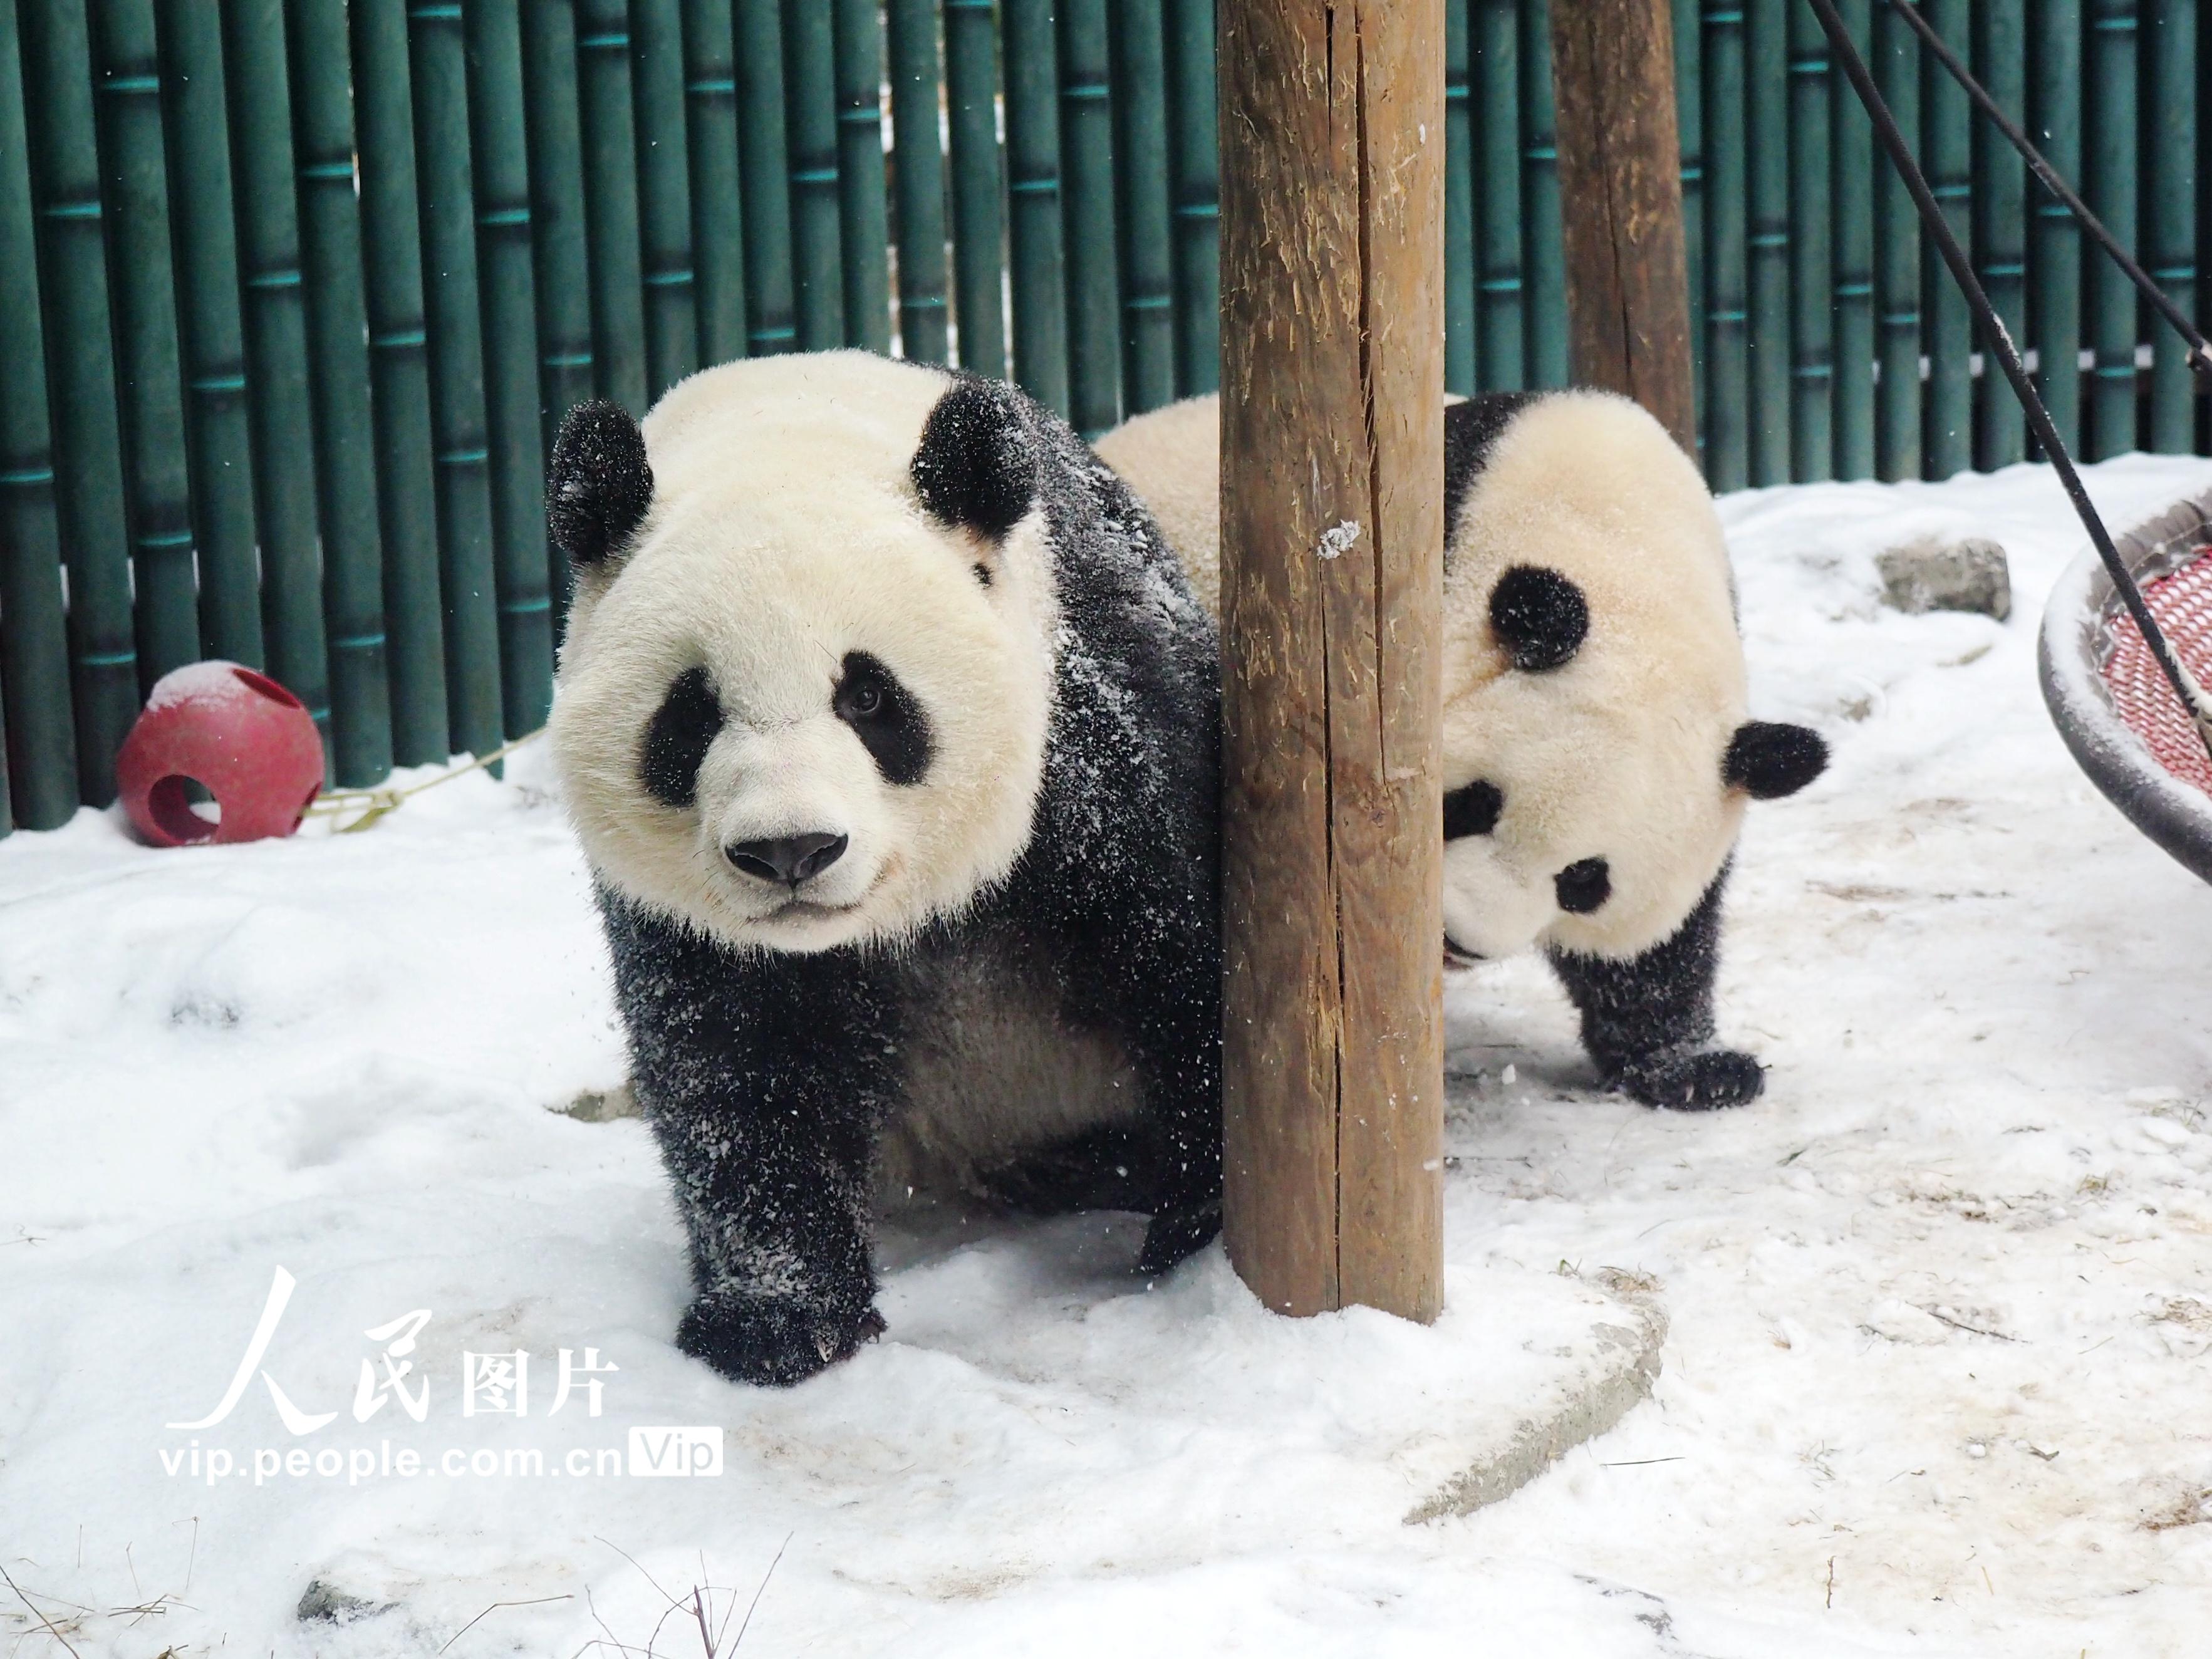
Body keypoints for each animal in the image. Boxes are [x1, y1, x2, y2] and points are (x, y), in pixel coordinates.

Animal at [544, 353, 1221, 1389]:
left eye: (866, 697)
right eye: (690, 714)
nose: (789, 852)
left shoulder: (1095, 750)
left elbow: (1182, 968)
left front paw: (1193, 1233)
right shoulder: (694, 920)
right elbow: (741, 1070)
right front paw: (775, 1323)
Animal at [1093, 391, 1831, 1119]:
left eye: (1584, 880)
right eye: (1472, 803)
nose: (1461, 938)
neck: (1615, 541)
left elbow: (1656, 951)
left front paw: (1700, 1071)